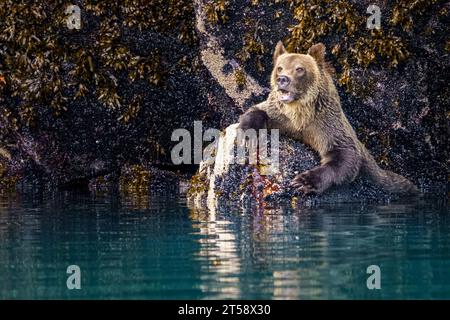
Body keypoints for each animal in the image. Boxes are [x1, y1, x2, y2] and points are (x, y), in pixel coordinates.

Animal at [239, 41, 418, 196]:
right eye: (279, 67)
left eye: (299, 69)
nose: (282, 79)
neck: (301, 112)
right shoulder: (282, 114)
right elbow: (259, 110)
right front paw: (247, 135)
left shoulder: (326, 122)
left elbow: (344, 154)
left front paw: (304, 181)